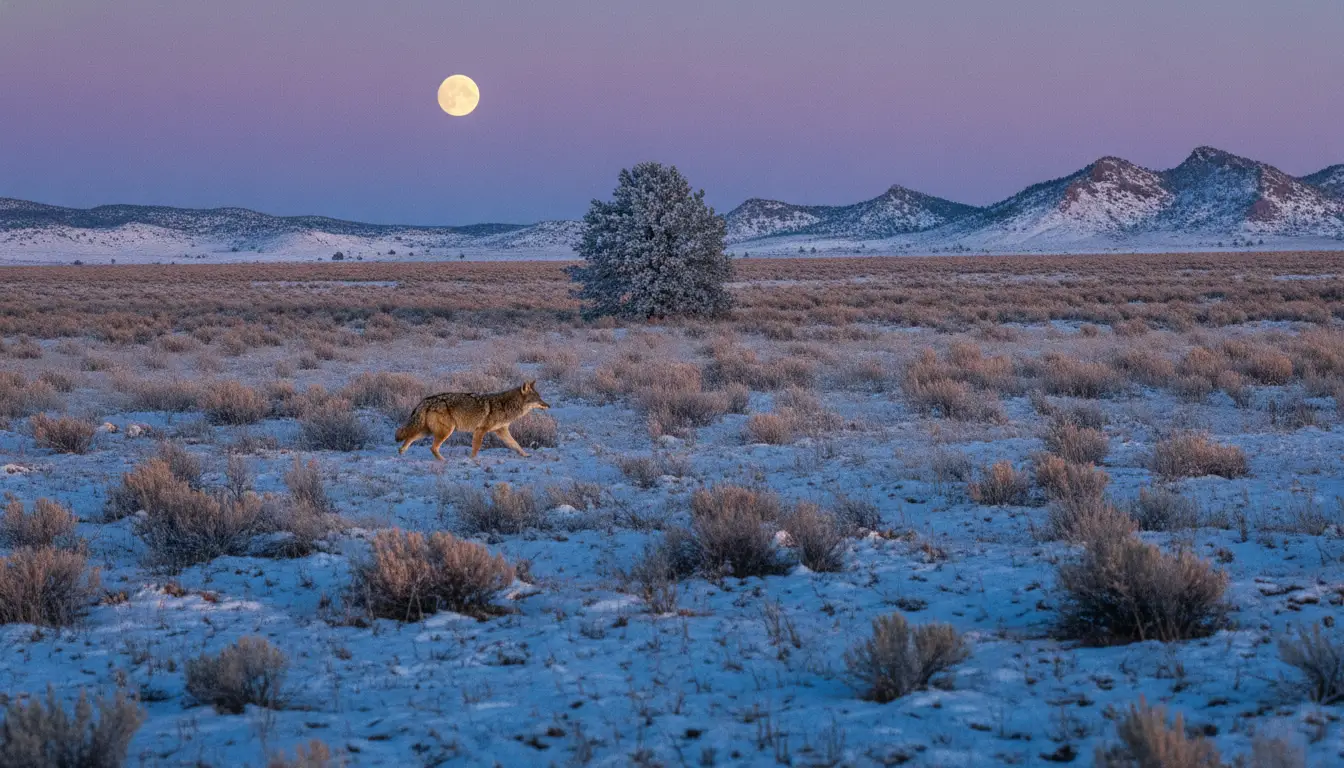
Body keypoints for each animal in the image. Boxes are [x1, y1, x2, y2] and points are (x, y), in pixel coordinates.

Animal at [395, 380, 550, 460]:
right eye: (538, 399)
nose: (548, 405)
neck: (506, 406)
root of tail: (426, 400)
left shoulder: (501, 431)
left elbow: (516, 445)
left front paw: (525, 455)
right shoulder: (480, 430)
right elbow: (476, 448)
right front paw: (473, 460)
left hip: (428, 431)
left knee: (409, 438)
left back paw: (401, 453)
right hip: (445, 432)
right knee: (432, 448)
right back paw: (444, 461)